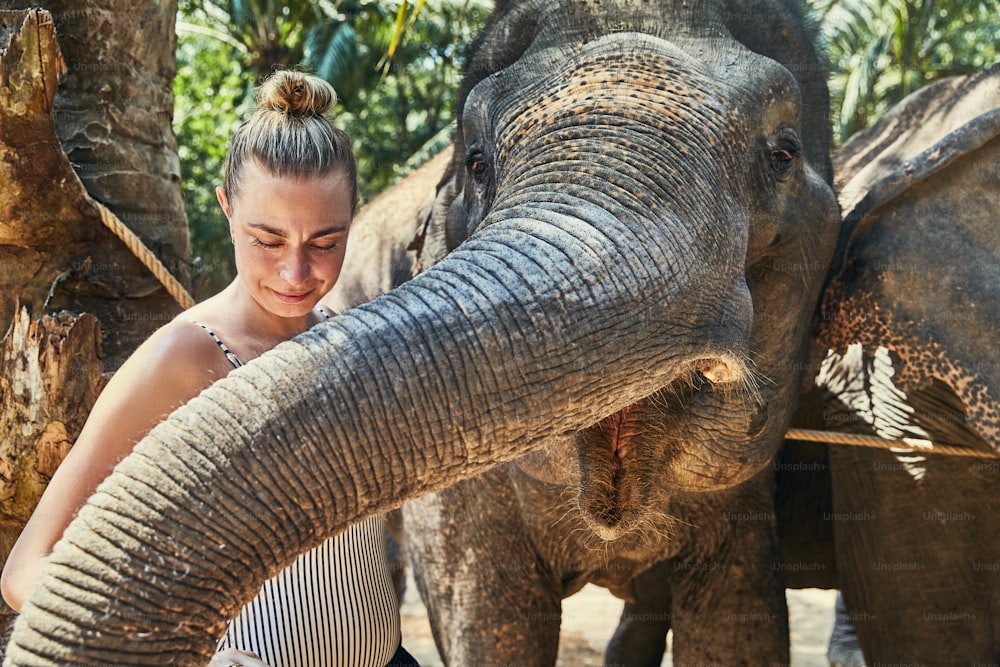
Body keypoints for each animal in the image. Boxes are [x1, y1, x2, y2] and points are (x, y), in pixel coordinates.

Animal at [1, 2, 844, 664]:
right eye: (477, 162)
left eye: (782, 153)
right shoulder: (463, 505)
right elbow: (488, 622)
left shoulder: (745, 502)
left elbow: (739, 626)